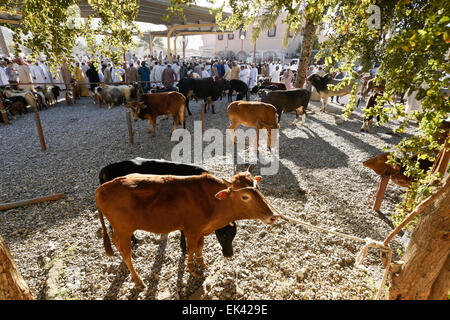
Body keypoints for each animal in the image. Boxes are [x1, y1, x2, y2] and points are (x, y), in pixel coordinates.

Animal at [95, 170, 278, 290]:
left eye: (259, 189)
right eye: (245, 196)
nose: (273, 216)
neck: (212, 202)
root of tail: (103, 188)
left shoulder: (201, 230)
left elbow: (200, 247)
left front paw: (202, 264)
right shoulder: (191, 230)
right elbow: (190, 249)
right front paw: (193, 270)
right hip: (124, 229)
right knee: (125, 251)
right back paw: (138, 281)